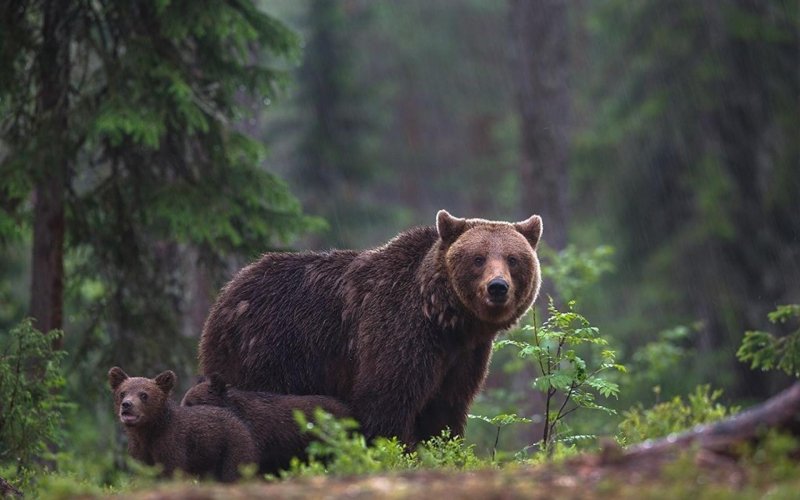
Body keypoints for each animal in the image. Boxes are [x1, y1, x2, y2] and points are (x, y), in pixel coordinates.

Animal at [198, 210, 544, 446]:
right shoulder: (398, 331)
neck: (446, 318)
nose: (497, 287)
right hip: (266, 351)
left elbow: (445, 410)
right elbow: (386, 400)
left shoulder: (463, 357)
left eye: (513, 258)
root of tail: (226, 294)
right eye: (478, 258)